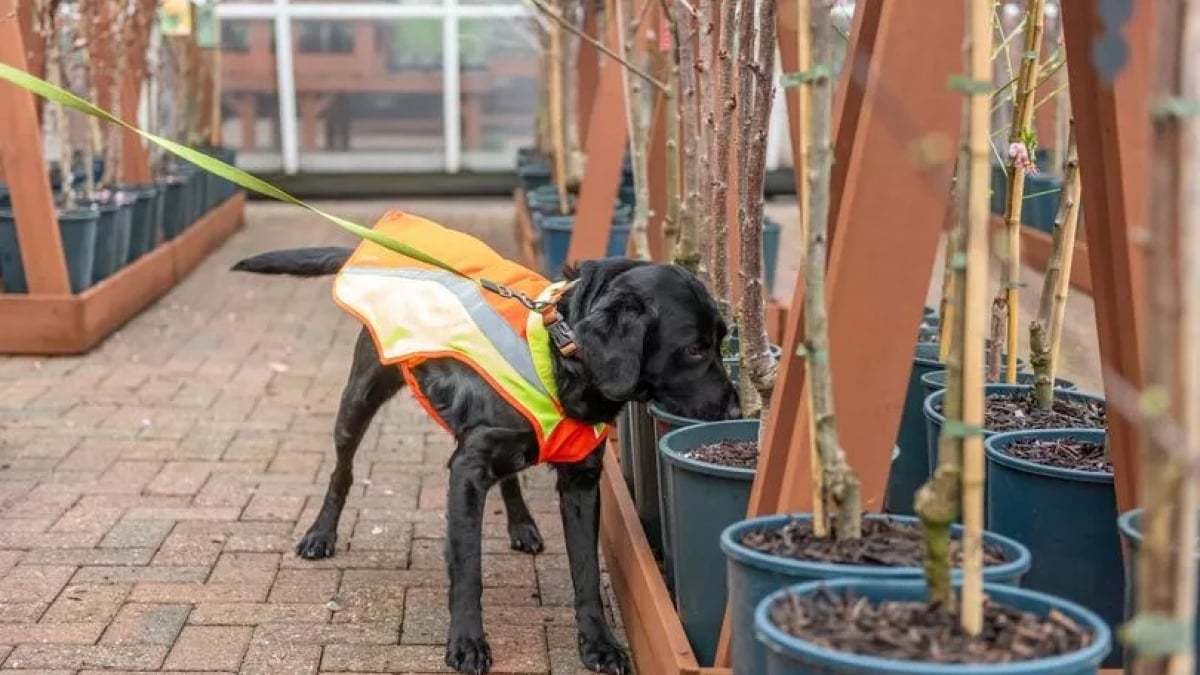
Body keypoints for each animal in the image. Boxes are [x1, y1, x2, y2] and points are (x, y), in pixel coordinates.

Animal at [231, 248, 739, 672]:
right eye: (694, 348)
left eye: (721, 341)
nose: (737, 411)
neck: (558, 355)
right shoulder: (467, 472)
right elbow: (467, 569)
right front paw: (467, 643)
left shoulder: (581, 480)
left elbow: (587, 573)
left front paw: (599, 645)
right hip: (358, 400)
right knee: (342, 471)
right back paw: (320, 534)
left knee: (510, 477)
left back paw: (522, 525)